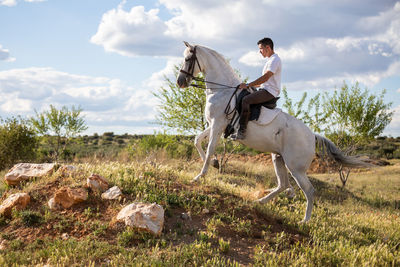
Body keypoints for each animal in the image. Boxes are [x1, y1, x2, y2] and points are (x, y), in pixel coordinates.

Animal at [177, 42, 370, 223]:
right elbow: (197, 140)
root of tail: (313, 136)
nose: (180, 82)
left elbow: (209, 149)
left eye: (188, 59)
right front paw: (215, 164)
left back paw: (304, 220)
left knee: (309, 190)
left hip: (295, 167)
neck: (222, 90)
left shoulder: (217, 124)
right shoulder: (215, 125)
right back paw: (261, 201)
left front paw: (199, 176)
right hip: (278, 158)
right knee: (283, 184)